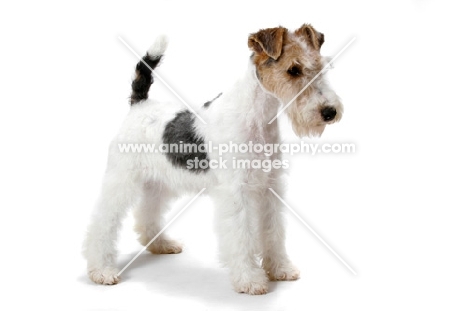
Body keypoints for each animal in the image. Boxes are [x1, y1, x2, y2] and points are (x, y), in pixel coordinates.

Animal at [82, 23, 342, 294]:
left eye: (321, 66)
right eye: (293, 69)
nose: (329, 112)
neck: (257, 118)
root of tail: (139, 105)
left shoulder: (270, 187)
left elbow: (273, 231)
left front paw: (280, 269)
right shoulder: (236, 193)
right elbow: (242, 236)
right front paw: (249, 279)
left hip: (157, 183)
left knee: (147, 215)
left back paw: (161, 244)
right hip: (121, 180)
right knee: (102, 222)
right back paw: (101, 270)